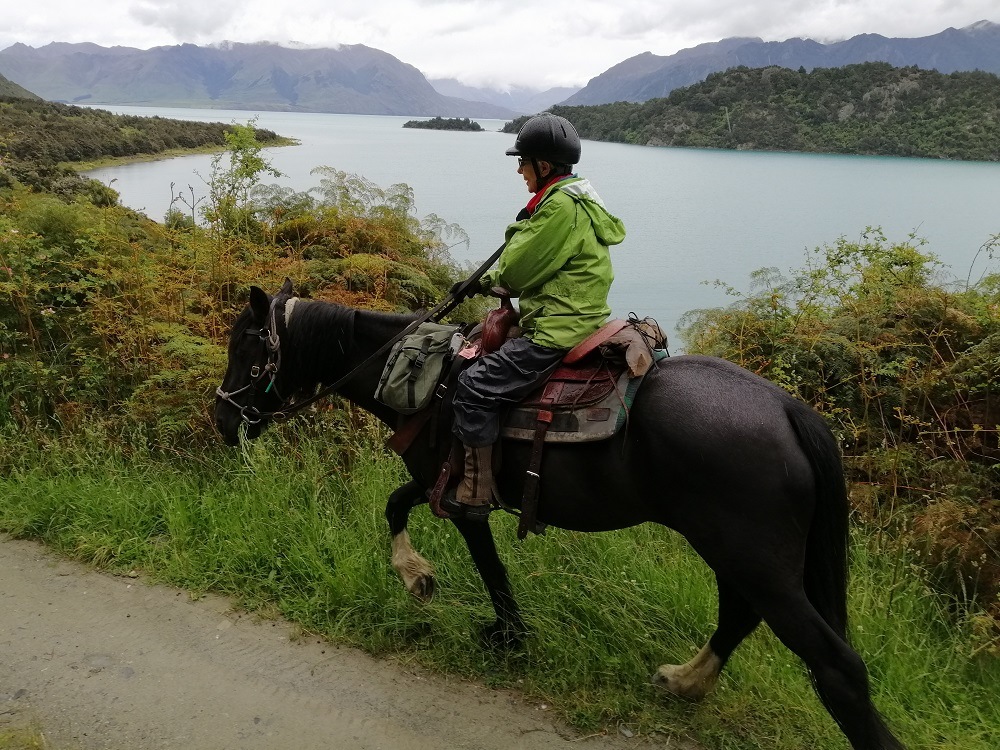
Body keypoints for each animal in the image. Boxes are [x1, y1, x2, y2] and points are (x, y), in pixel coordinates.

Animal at [213, 282, 908, 750]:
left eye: (247, 346)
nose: (221, 420)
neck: (430, 378)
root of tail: (791, 410)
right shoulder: (436, 480)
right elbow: (395, 504)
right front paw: (417, 576)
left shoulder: (463, 499)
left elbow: (490, 568)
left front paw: (504, 631)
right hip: (735, 549)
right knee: (740, 614)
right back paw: (685, 680)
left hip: (751, 554)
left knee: (836, 666)